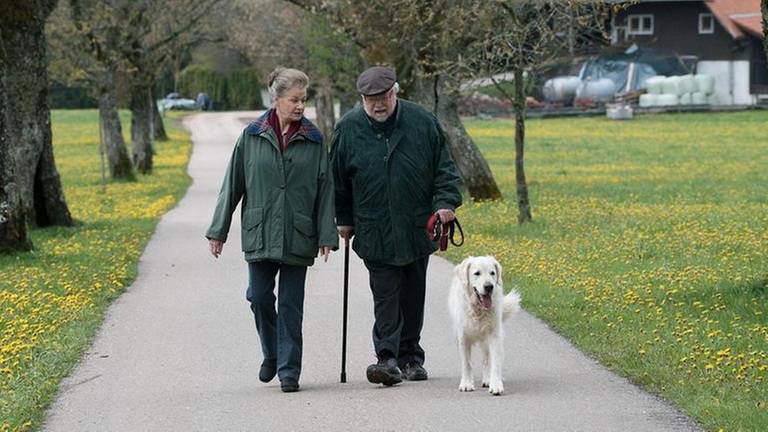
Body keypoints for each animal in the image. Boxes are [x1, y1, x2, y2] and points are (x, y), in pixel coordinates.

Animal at [448, 256, 520, 394]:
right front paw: (466, 383)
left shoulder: (494, 335)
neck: (478, 309)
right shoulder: (463, 338)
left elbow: (495, 363)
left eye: (492, 273)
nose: (489, 286)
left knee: (487, 359)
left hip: (486, 340)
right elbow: (466, 364)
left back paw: (487, 379)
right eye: (477, 273)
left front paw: (496, 385)